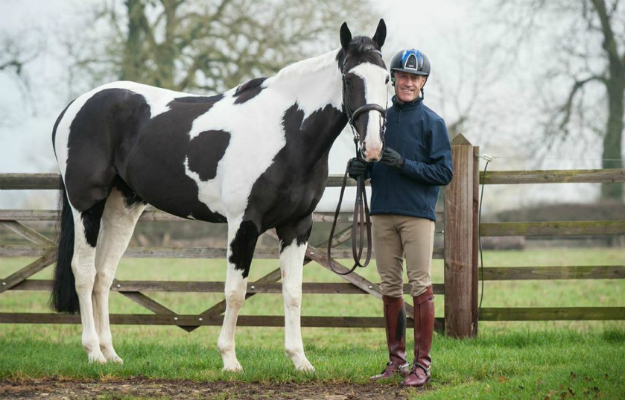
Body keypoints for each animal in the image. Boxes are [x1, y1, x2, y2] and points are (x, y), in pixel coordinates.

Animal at [51, 19, 388, 372]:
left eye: (387, 79)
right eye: (349, 79)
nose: (373, 147)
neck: (285, 133)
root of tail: (74, 107)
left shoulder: (297, 227)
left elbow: (293, 293)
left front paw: (300, 360)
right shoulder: (244, 224)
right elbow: (236, 292)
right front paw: (229, 359)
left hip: (122, 207)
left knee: (104, 275)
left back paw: (110, 354)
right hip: (86, 205)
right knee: (84, 272)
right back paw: (93, 352)